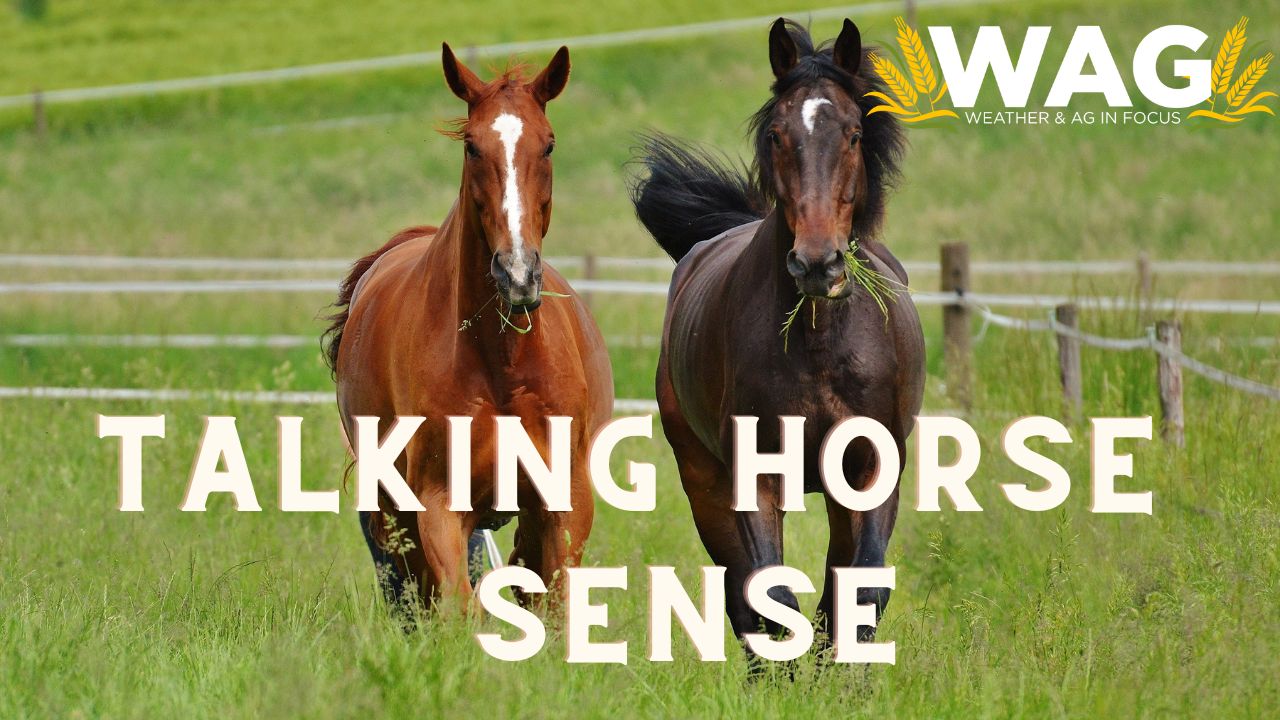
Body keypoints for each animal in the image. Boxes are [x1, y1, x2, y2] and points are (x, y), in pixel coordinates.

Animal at [323, 43, 613, 610]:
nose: (517, 273)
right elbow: (458, 607)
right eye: (472, 147)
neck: (502, 363)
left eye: (548, 145)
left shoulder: (563, 503)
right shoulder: (437, 506)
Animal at [630, 19, 924, 656]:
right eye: (776, 134)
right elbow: (772, 600)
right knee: (743, 599)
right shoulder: (754, 479)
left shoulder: (871, 471)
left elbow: (860, 593)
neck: (820, 347)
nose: (816, 263)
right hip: (705, 483)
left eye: (855, 133)